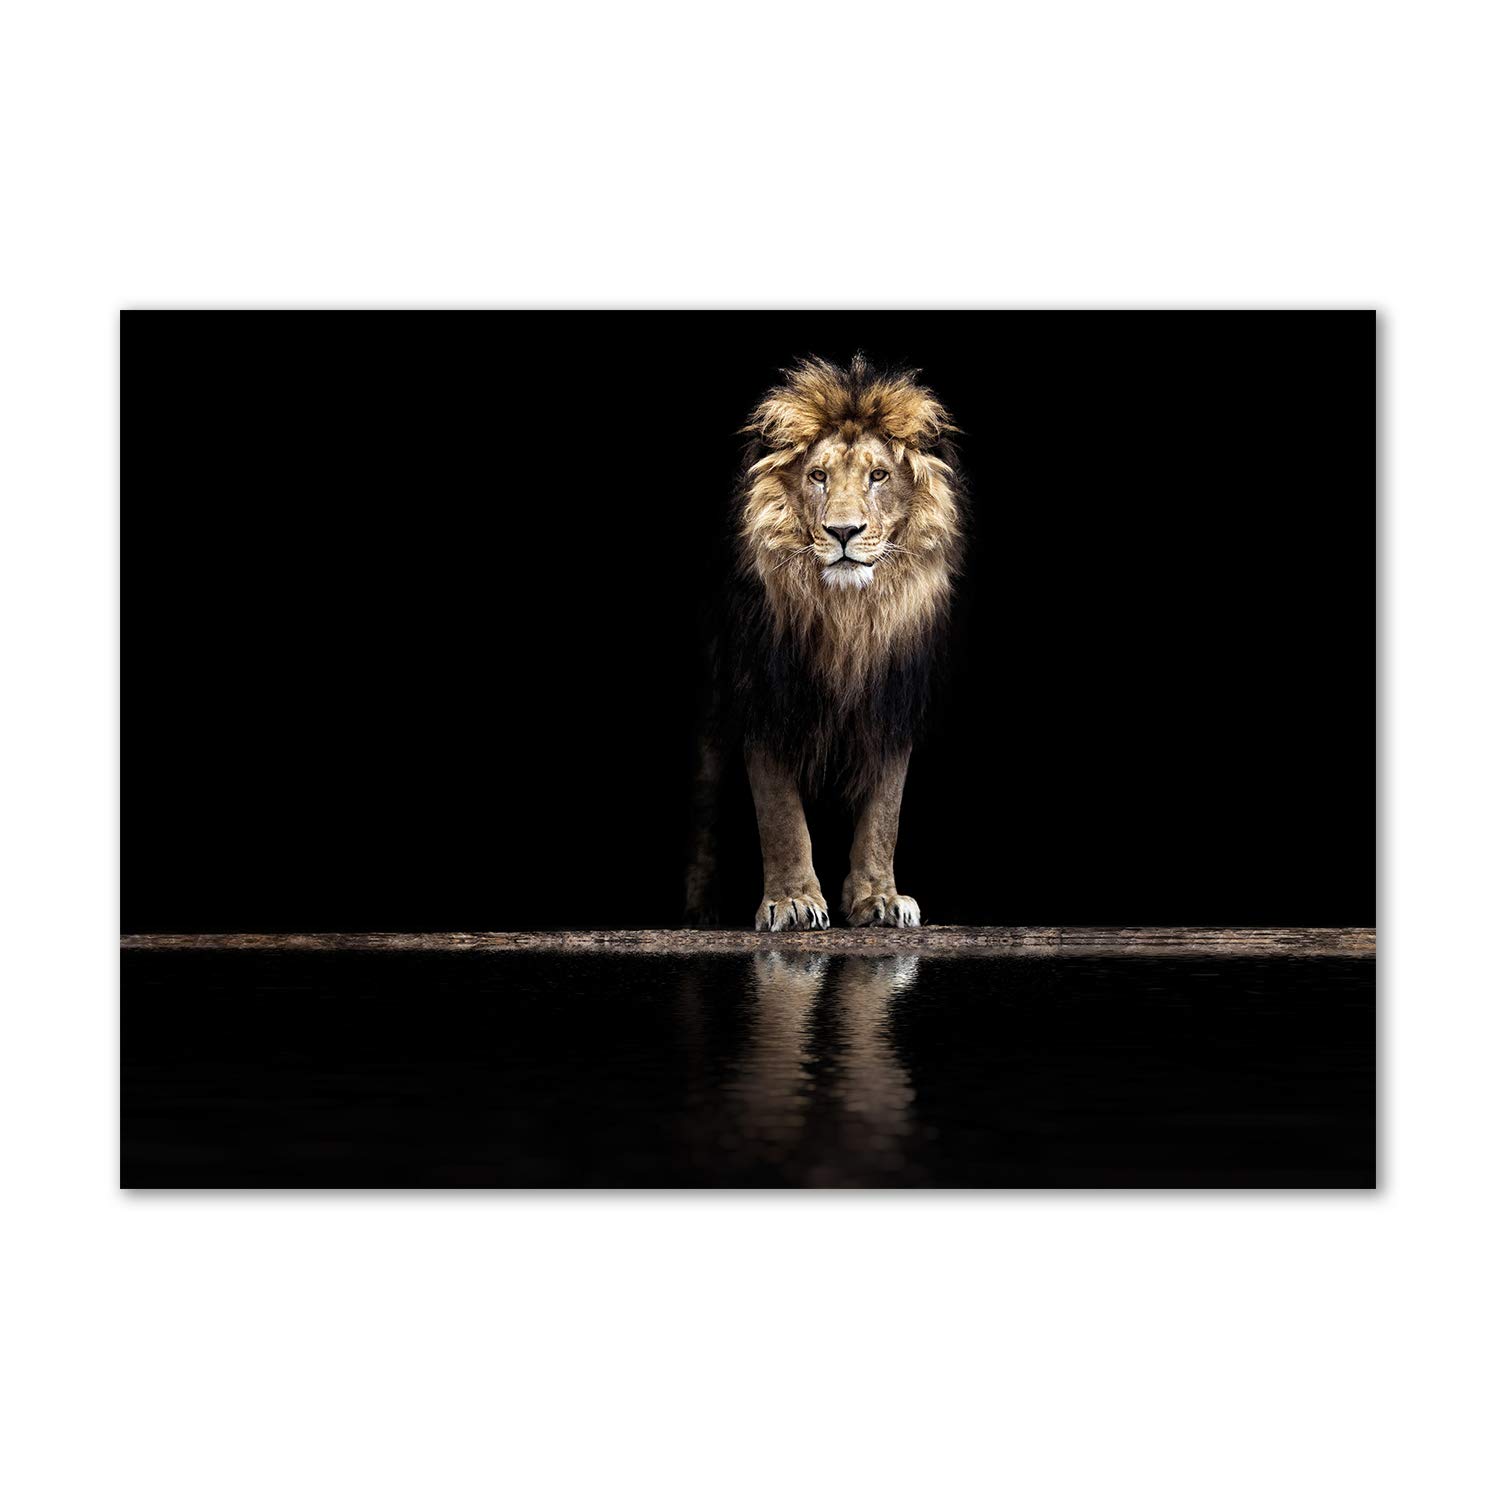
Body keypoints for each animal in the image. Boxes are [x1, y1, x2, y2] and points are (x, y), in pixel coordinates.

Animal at [685, 355, 965, 931]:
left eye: (878, 475)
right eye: (818, 476)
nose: (842, 531)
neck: (847, 617)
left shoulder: (891, 702)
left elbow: (884, 812)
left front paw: (879, 899)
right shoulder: (765, 695)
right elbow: (780, 814)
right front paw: (792, 901)